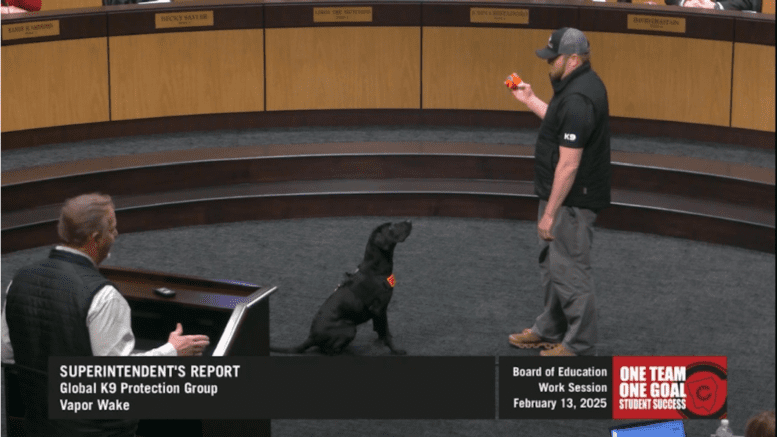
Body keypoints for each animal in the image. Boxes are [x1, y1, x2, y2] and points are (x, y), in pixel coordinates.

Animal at [272, 221, 412, 354]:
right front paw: (396, 350)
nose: (410, 221)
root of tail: (311, 337)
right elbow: (387, 333)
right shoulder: (380, 309)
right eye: (391, 227)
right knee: (328, 350)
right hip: (350, 328)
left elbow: (379, 329)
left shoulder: (377, 311)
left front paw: (379, 341)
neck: (376, 270)